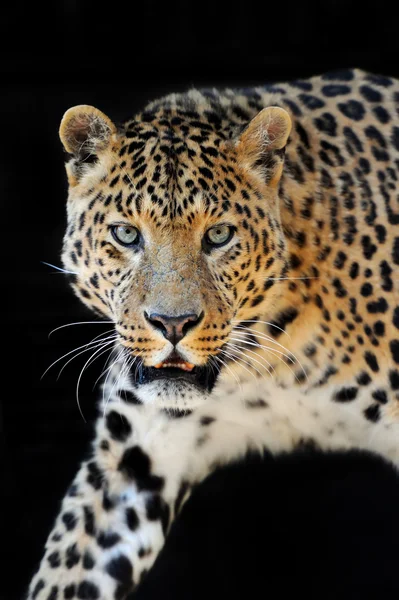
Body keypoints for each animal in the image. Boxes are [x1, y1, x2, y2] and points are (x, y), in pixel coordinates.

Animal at [26, 68, 399, 596]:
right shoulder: (133, 461)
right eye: (126, 234)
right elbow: (68, 568)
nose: (173, 324)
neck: (265, 362)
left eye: (219, 236)